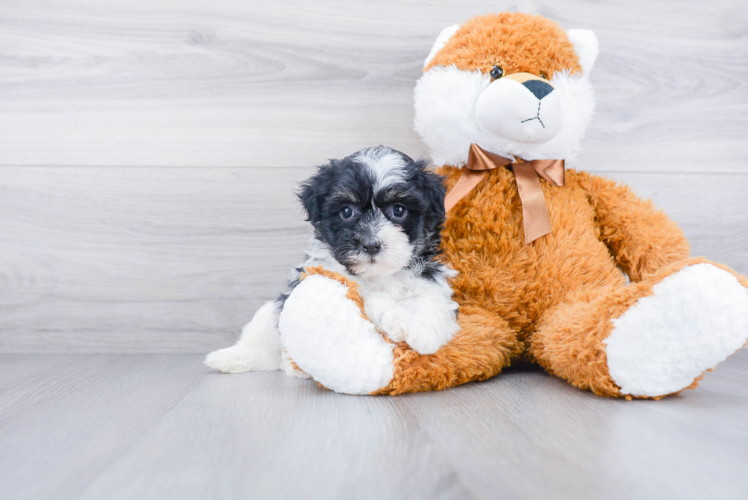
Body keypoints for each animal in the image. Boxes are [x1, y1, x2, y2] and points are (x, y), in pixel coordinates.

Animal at [206, 146, 462, 376]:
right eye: (346, 211)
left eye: (398, 210)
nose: (371, 244)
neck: (377, 275)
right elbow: (363, 294)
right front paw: (390, 313)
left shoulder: (428, 277)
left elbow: (430, 304)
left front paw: (421, 331)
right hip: (272, 313)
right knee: (263, 340)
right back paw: (233, 358)